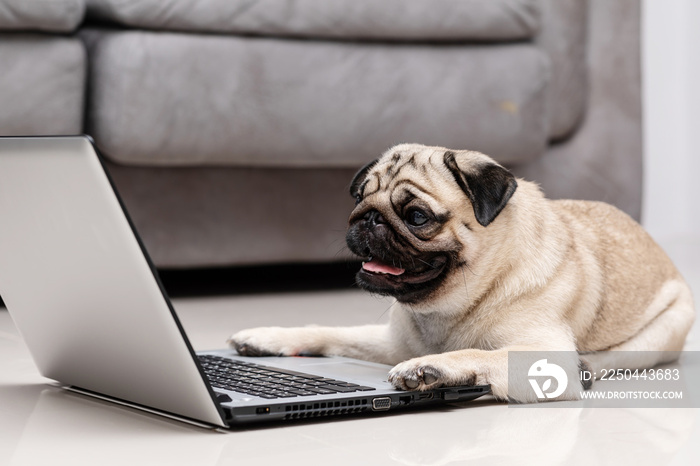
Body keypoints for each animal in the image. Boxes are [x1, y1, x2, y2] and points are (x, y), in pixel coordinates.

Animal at [230, 145, 696, 400]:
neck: (452, 307)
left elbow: (479, 354)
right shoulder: (392, 341)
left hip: (664, 328)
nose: (368, 219)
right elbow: (330, 332)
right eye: (360, 199)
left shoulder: (545, 352)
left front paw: (430, 368)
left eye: (416, 217)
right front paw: (269, 337)